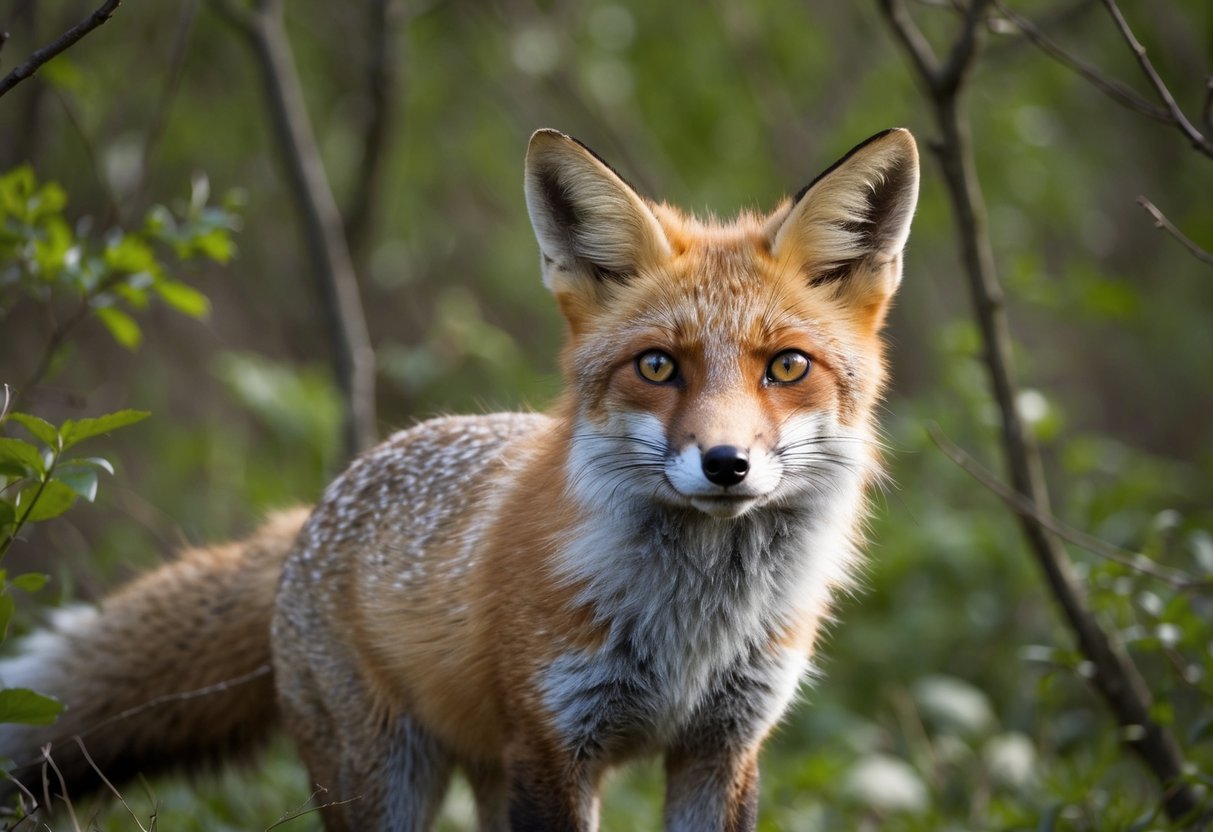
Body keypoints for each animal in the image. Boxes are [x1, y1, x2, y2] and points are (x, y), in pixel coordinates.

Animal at [0, 127, 919, 831]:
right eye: (657, 366)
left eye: (786, 366)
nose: (726, 464)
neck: (692, 628)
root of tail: (315, 509)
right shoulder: (553, 744)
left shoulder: (721, 748)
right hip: (387, 781)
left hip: (487, 768)